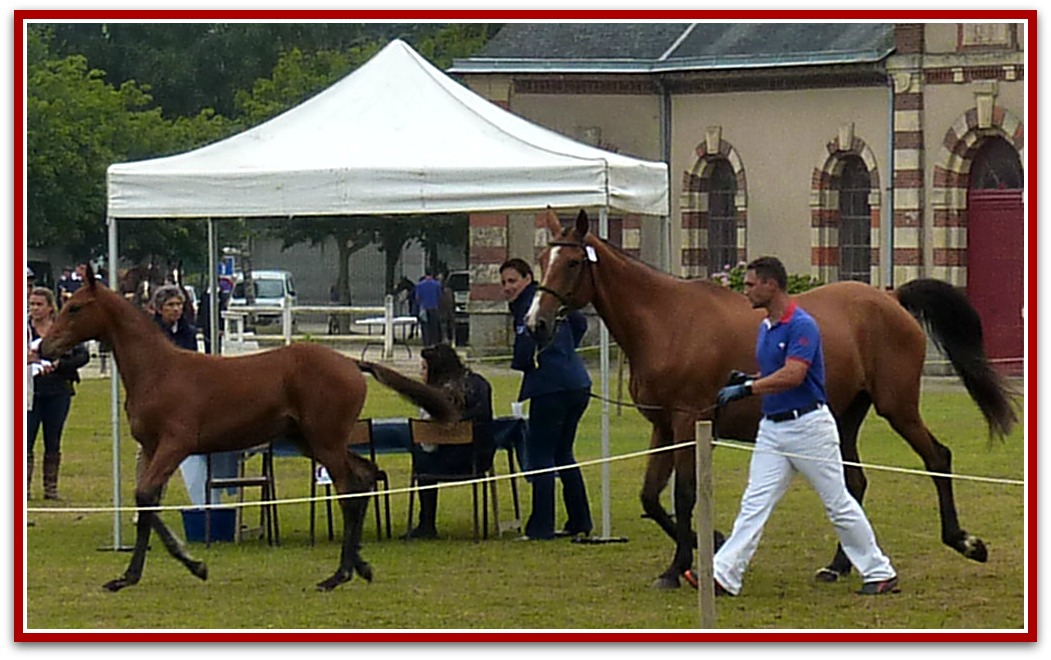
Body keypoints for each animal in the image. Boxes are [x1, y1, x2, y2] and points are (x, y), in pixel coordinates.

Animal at [40, 267, 459, 592]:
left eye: (76, 307)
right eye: (64, 304)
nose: (44, 347)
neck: (158, 370)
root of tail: (351, 363)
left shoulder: (176, 443)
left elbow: (145, 496)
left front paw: (194, 564)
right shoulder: (153, 447)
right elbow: (147, 501)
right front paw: (129, 576)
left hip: (325, 441)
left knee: (350, 488)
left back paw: (337, 575)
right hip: (310, 440)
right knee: (366, 475)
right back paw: (361, 565)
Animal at [527, 208, 1018, 589]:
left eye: (572, 262)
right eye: (541, 258)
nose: (536, 323)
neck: (667, 320)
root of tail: (891, 297)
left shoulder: (689, 419)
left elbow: (685, 495)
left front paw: (681, 565)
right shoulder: (663, 426)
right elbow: (651, 497)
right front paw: (711, 543)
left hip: (897, 406)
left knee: (937, 457)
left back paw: (964, 542)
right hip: (847, 416)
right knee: (854, 484)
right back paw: (838, 565)